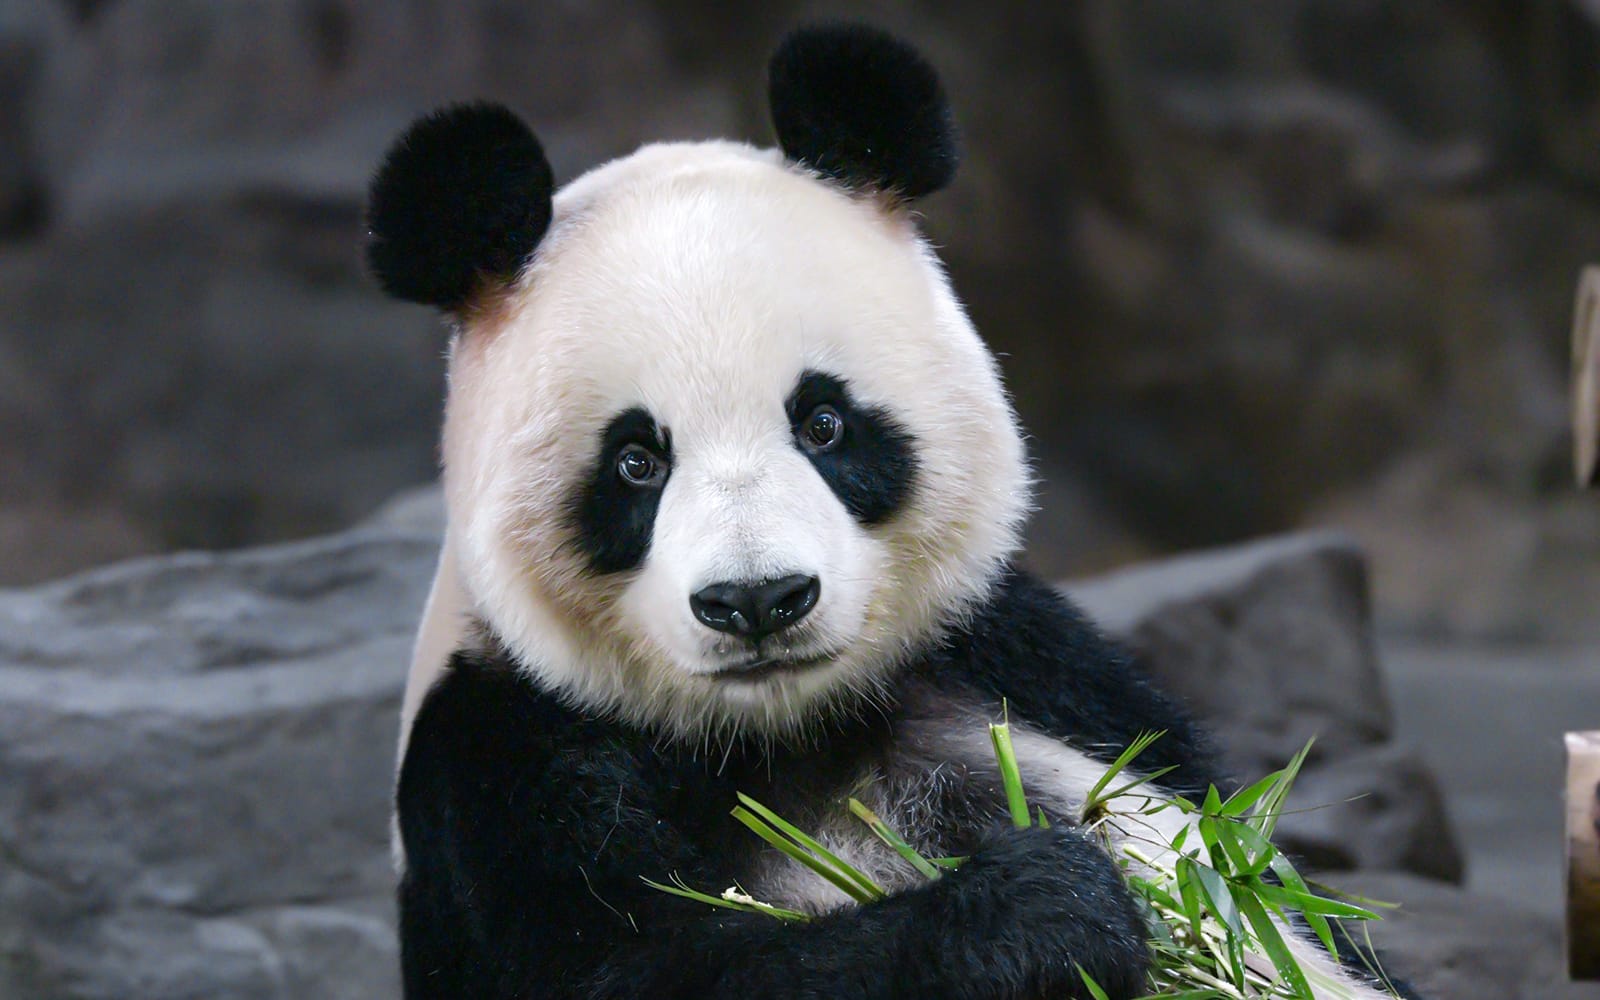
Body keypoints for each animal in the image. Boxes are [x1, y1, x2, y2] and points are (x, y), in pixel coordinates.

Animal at [370, 23, 1405, 1000]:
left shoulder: (1035, 669)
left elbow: (1274, 895)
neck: (780, 736)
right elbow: (654, 966)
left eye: (823, 422)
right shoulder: (503, 767)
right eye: (635, 463)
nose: (758, 600)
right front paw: (1046, 910)